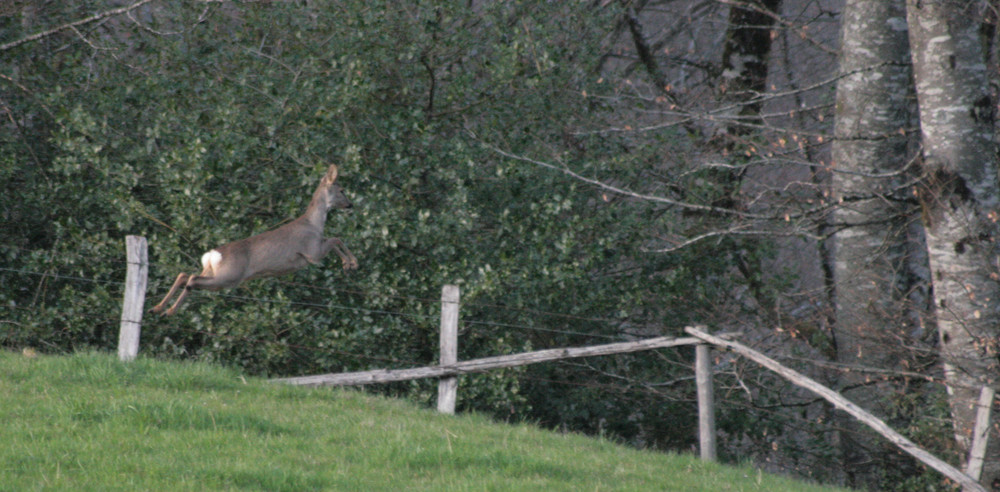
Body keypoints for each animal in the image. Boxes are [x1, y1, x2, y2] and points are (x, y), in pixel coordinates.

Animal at [150, 161, 358, 316]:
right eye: (342, 190)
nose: (350, 204)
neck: (314, 224)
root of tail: (212, 255)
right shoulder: (312, 252)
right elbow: (336, 239)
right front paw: (351, 263)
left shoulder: (314, 251)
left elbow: (334, 239)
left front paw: (348, 264)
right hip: (229, 276)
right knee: (192, 279)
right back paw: (169, 310)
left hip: (213, 272)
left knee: (184, 275)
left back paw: (158, 308)